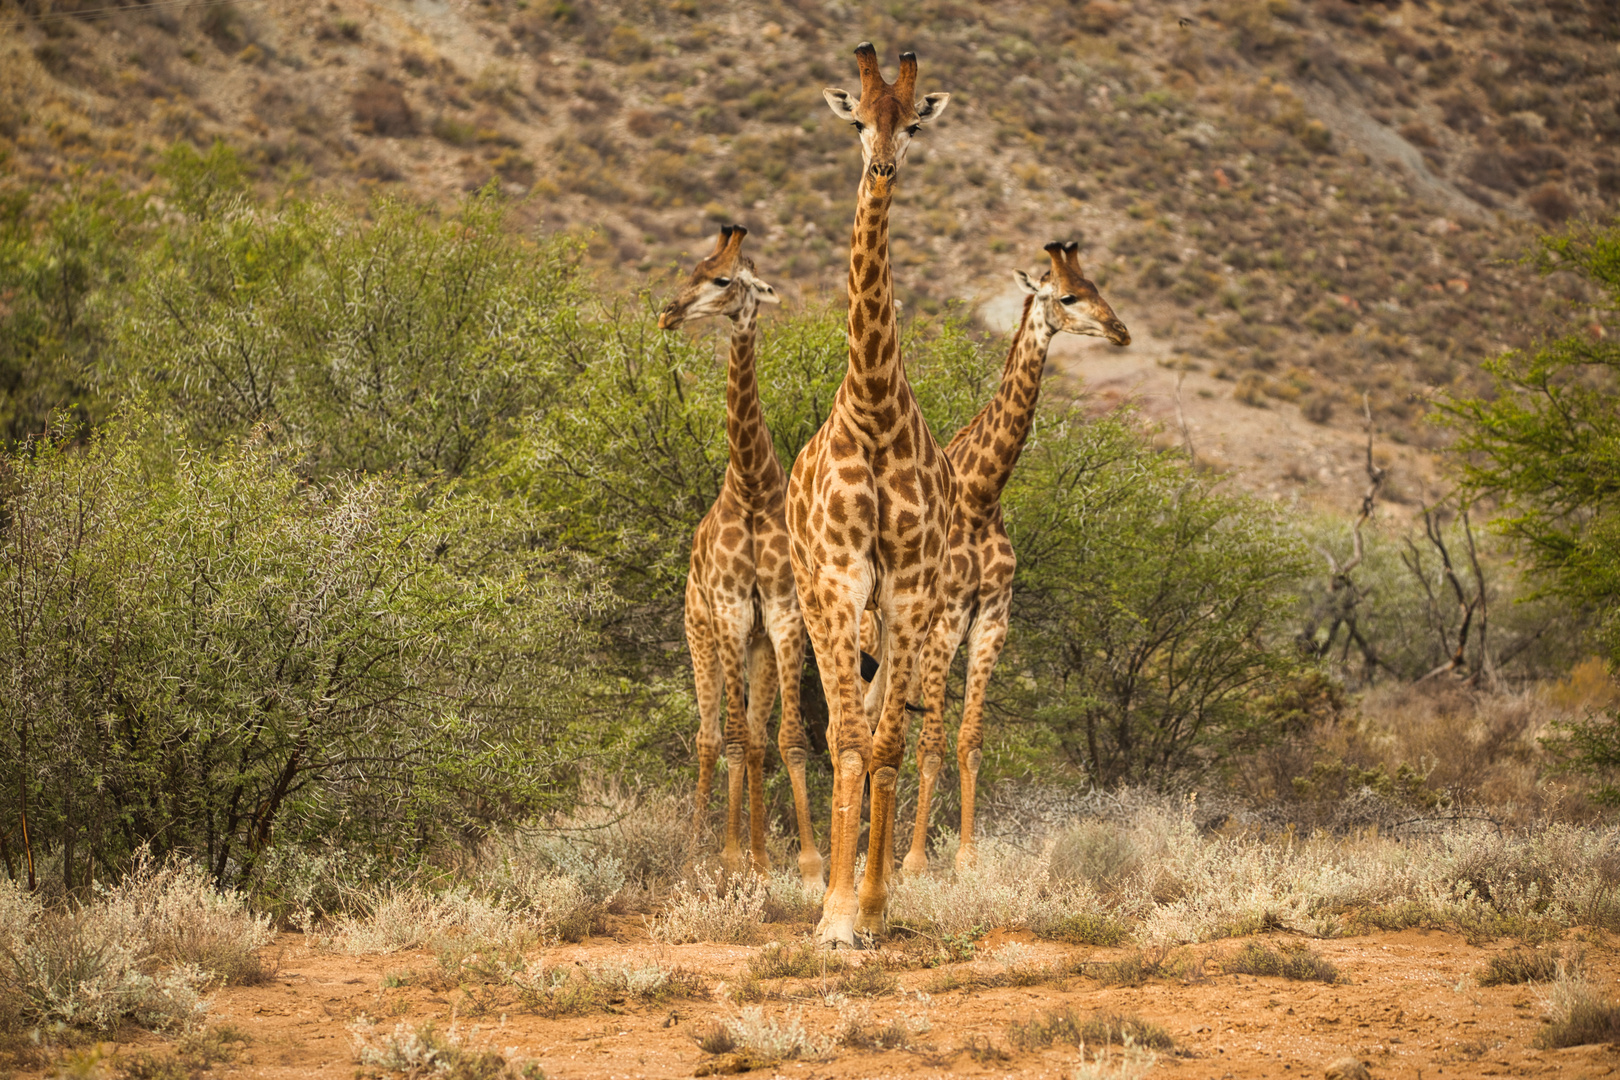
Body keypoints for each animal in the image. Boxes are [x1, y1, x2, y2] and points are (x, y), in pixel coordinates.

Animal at [660, 223, 829, 893]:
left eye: (723, 279)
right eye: (691, 269)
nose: (668, 312)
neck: (753, 487)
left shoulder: (783, 615)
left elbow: (785, 740)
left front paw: (801, 863)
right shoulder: (731, 611)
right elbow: (732, 738)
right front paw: (730, 858)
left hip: (755, 642)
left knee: (755, 736)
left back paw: (755, 854)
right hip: (700, 633)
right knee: (709, 736)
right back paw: (693, 849)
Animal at [900, 241, 1127, 874]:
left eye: (1098, 286)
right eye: (1068, 296)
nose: (1120, 331)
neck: (981, 495)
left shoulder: (993, 618)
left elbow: (970, 740)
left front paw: (967, 860)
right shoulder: (947, 619)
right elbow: (931, 744)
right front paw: (914, 862)